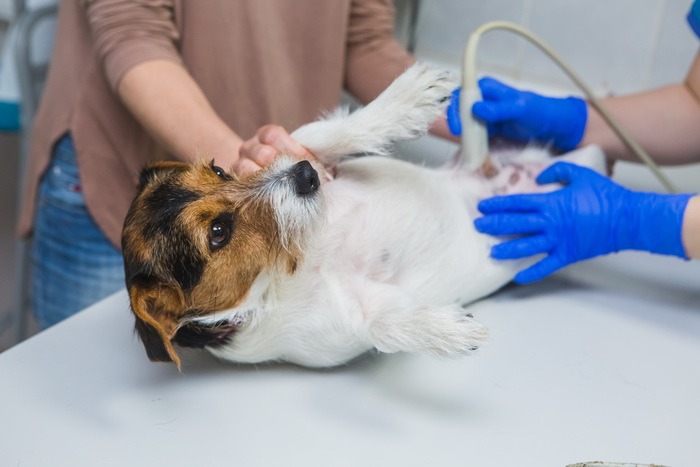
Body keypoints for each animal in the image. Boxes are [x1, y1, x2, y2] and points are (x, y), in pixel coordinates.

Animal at [121, 63, 608, 370]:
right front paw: (445, 330)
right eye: (219, 233)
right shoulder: (344, 326)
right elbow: (383, 326)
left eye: (221, 171)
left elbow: (326, 131)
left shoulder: (317, 156)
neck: (293, 265)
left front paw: (408, 98)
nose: (304, 175)